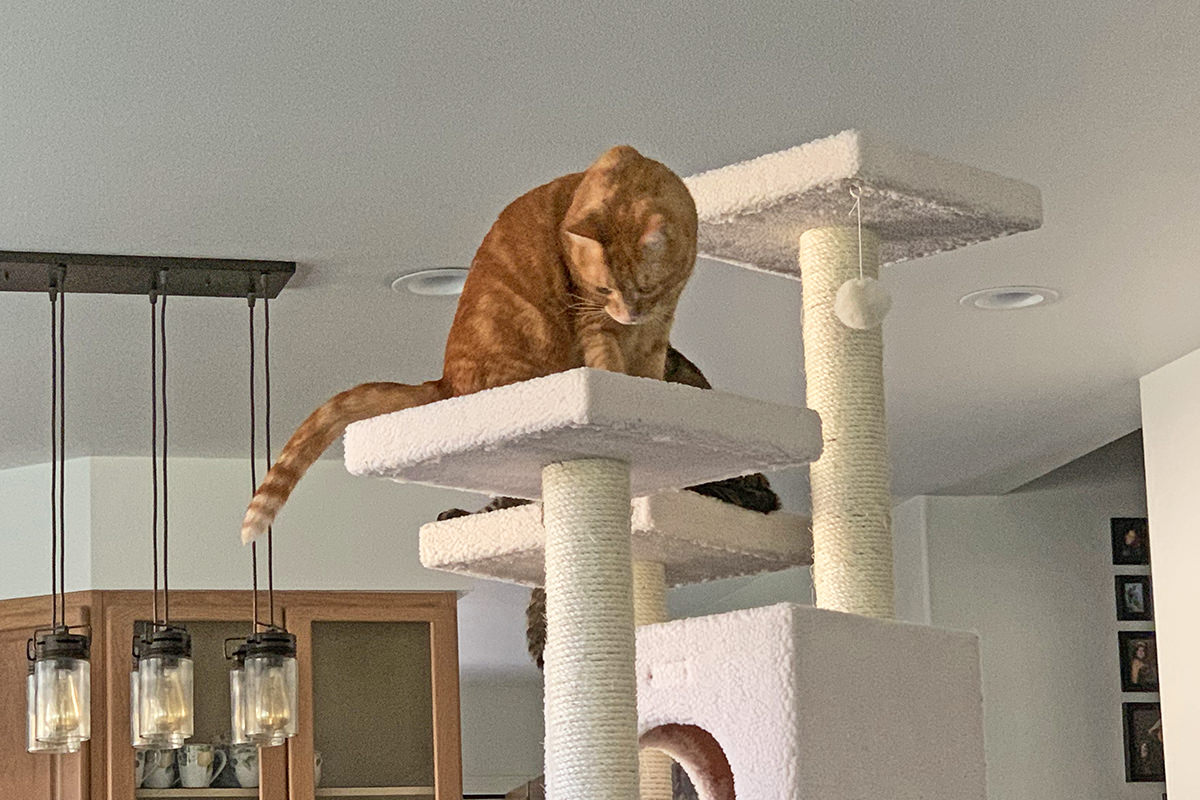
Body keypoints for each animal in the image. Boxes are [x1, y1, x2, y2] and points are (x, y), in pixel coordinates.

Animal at [240, 145, 700, 544]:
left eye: (644, 288)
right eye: (604, 288)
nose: (626, 313)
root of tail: (443, 382)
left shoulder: (659, 325)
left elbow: (649, 371)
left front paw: (650, 399)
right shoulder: (590, 316)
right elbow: (608, 364)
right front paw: (617, 395)